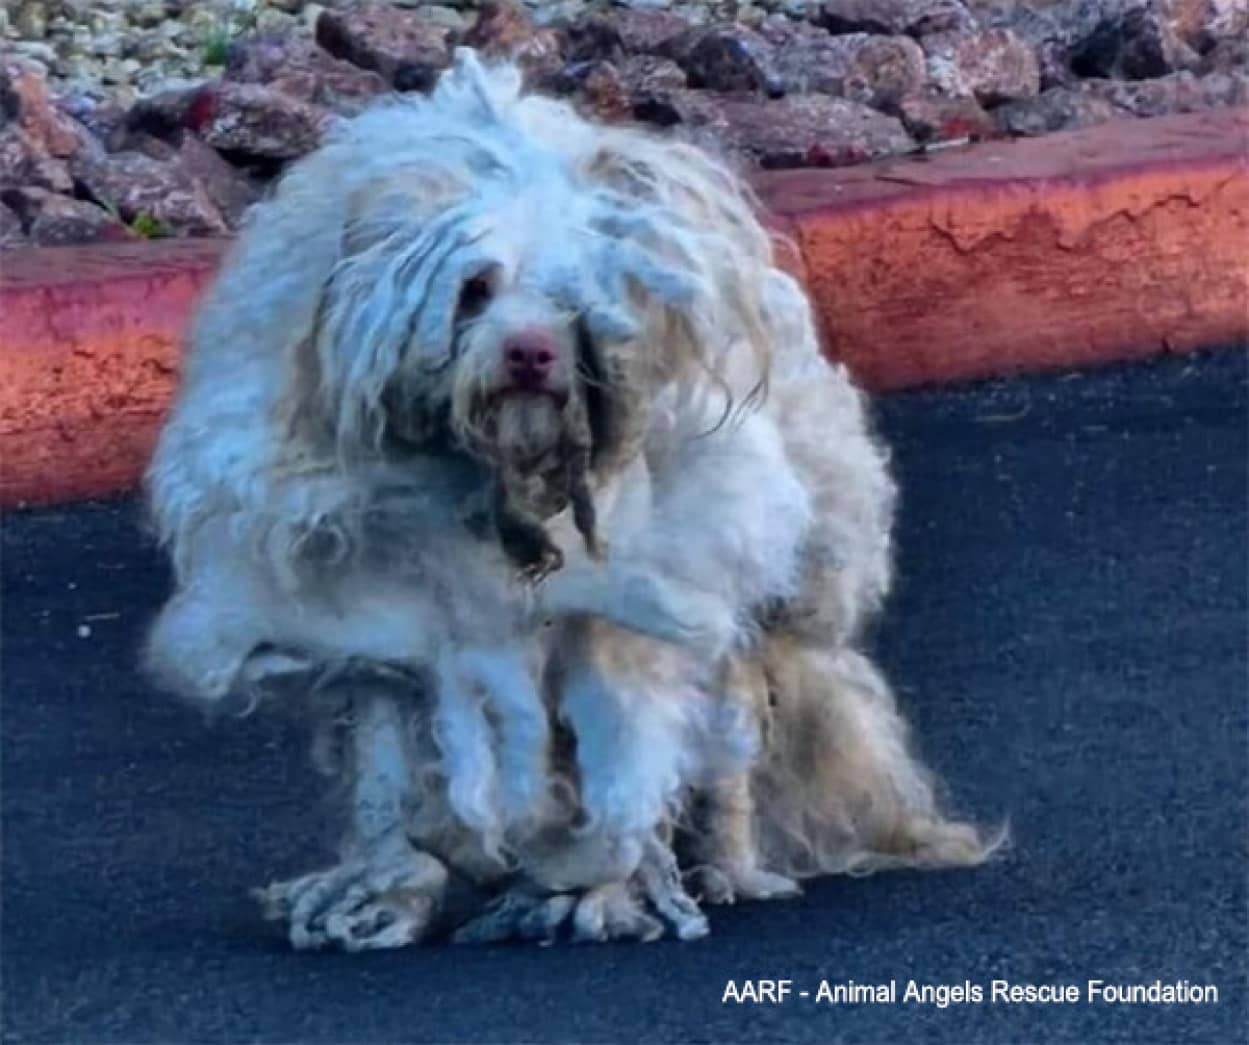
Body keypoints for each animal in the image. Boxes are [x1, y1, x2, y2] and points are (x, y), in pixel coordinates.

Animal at [139, 46, 994, 943]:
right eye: (473, 288)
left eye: (575, 299)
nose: (529, 353)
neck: (498, 484)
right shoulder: (376, 618)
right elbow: (385, 773)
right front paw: (387, 893)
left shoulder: (625, 613)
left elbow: (622, 759)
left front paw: (593, 886)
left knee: (726, 745)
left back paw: (726, 866)